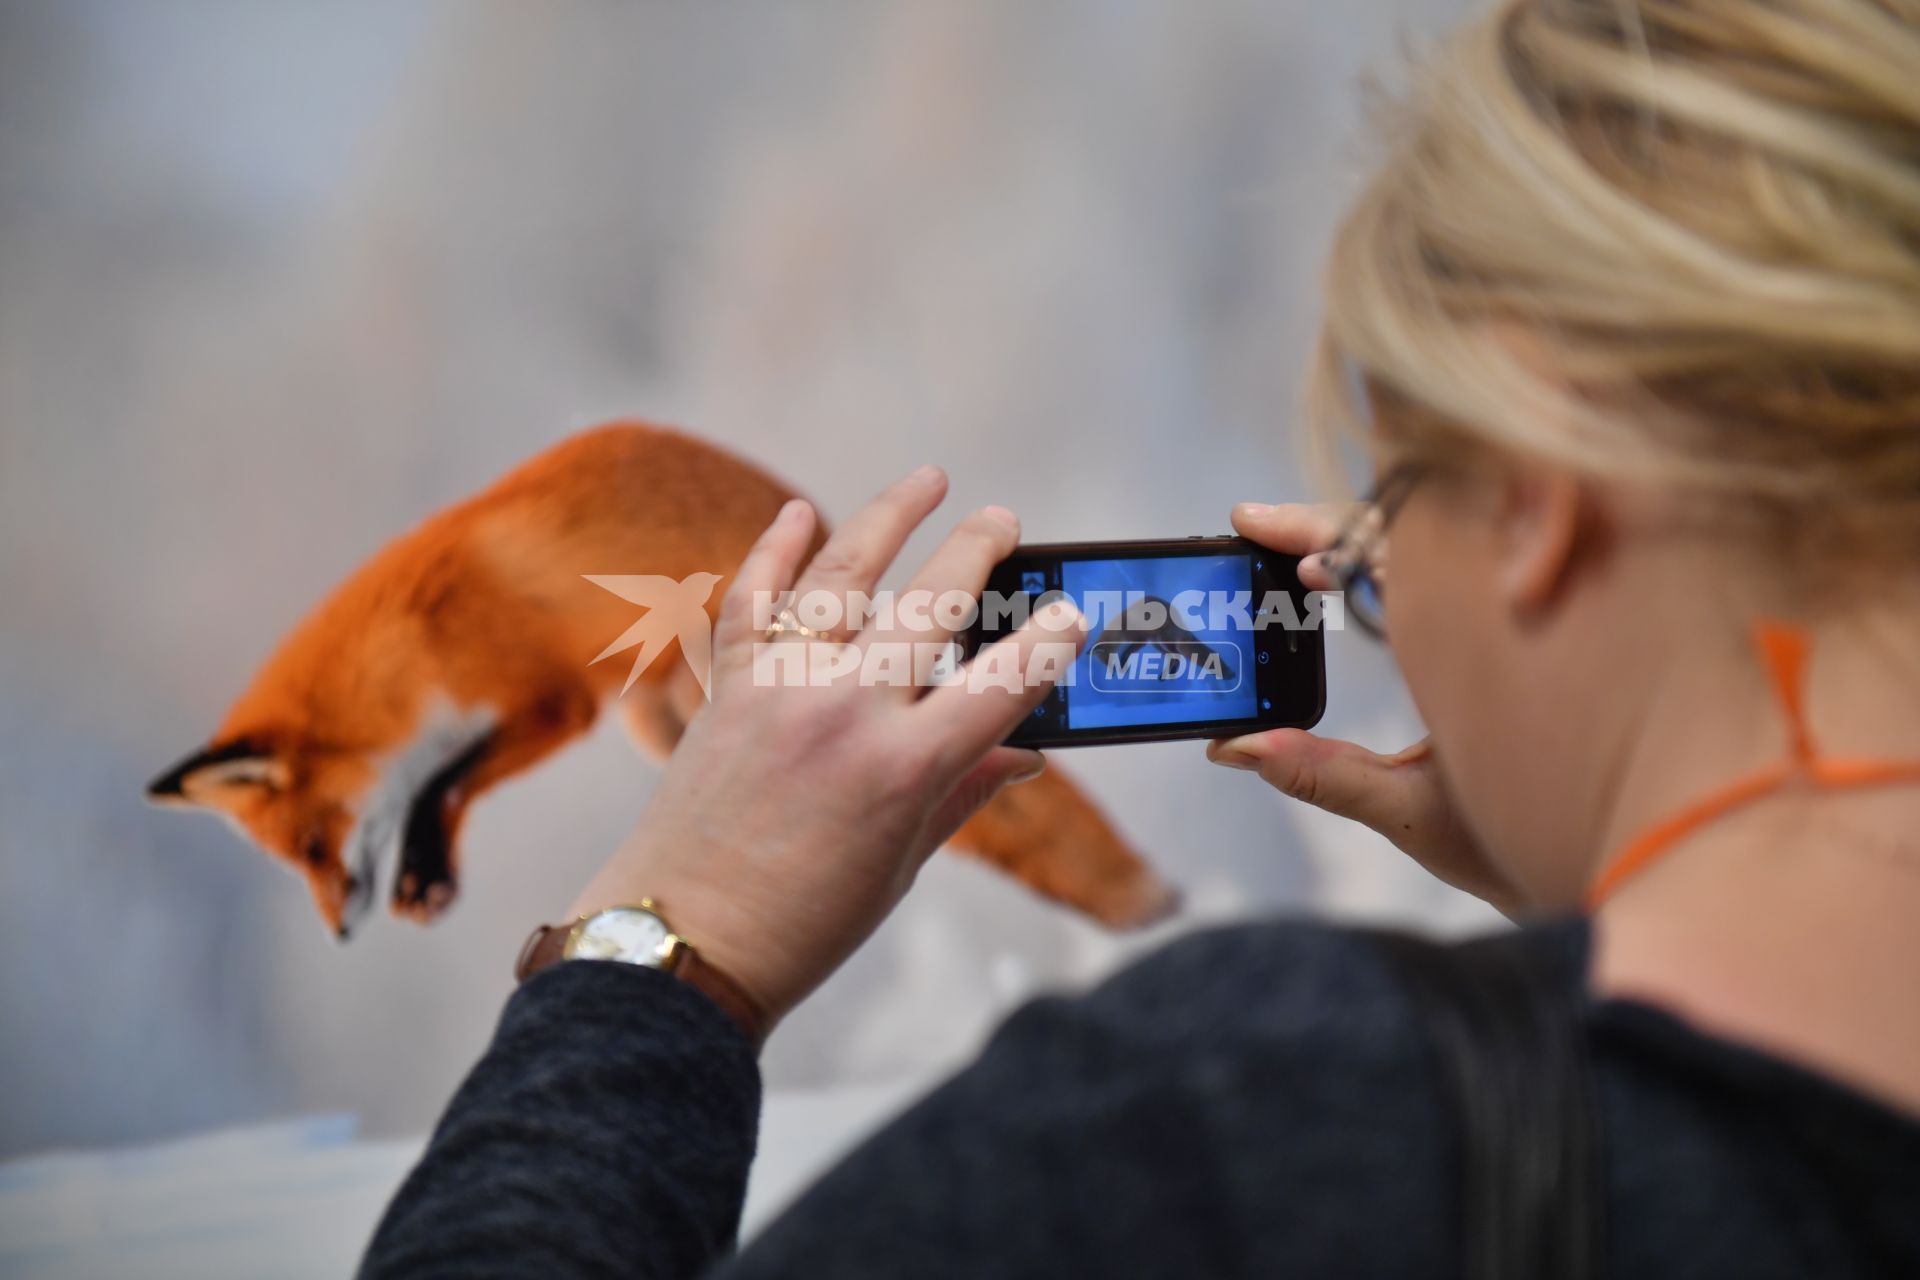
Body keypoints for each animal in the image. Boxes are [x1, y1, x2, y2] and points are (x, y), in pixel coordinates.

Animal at [149, 426, 1167, 936]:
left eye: (315, 845)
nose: (338, 927)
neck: (419, 645)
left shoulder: (546, 702)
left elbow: (448, 784)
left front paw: (427, 869)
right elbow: (443, 782)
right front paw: (428, 870)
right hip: (654, 724)